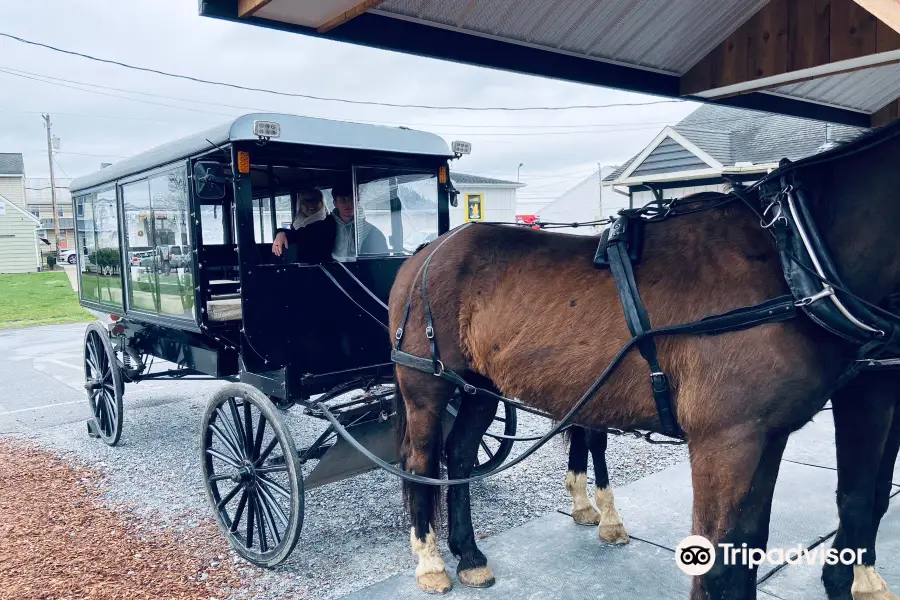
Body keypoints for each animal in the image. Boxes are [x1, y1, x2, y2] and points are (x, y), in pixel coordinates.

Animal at [390, 130, 900, 596]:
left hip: (480, 385)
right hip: (426, 384)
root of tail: (426, 251)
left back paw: (470, 555)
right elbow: (720, 568)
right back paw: (432, 563)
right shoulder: (727, 439)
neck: (791, 252)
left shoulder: (769, 434)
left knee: (458, 455)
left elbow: (756, 546)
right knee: (421, 461)